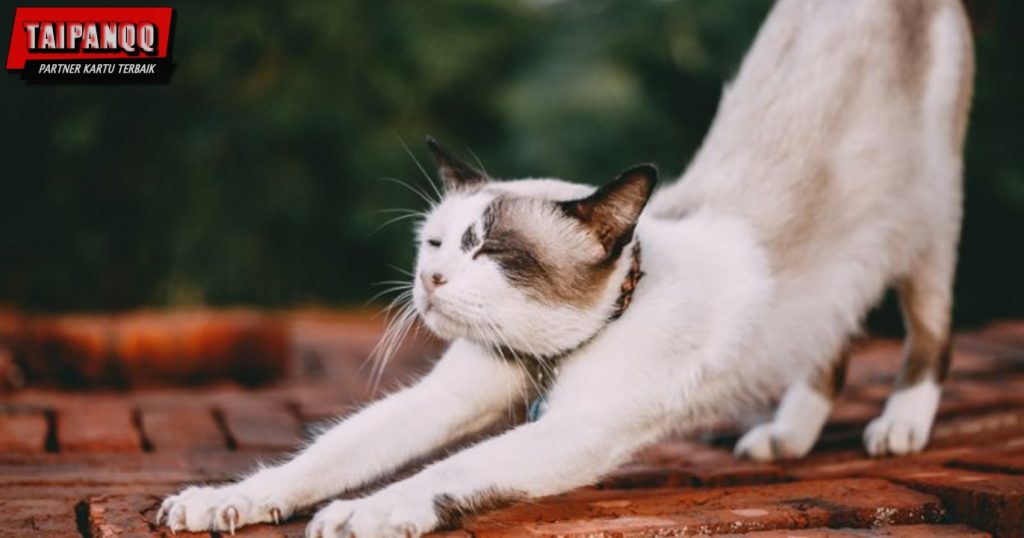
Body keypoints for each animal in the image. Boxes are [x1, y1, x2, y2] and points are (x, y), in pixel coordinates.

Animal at [155, 2, 970, 532]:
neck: (548, 356)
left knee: (928, 335)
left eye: (493, 251)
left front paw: (362, 514)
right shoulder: (449, 397)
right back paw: (787, 438)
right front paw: (216, 502)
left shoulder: (579, 429)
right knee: (832, 339)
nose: (430, 283)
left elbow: (443, 473)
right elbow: (321, 458)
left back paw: (899, 426)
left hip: (925, 225)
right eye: (436, 246)